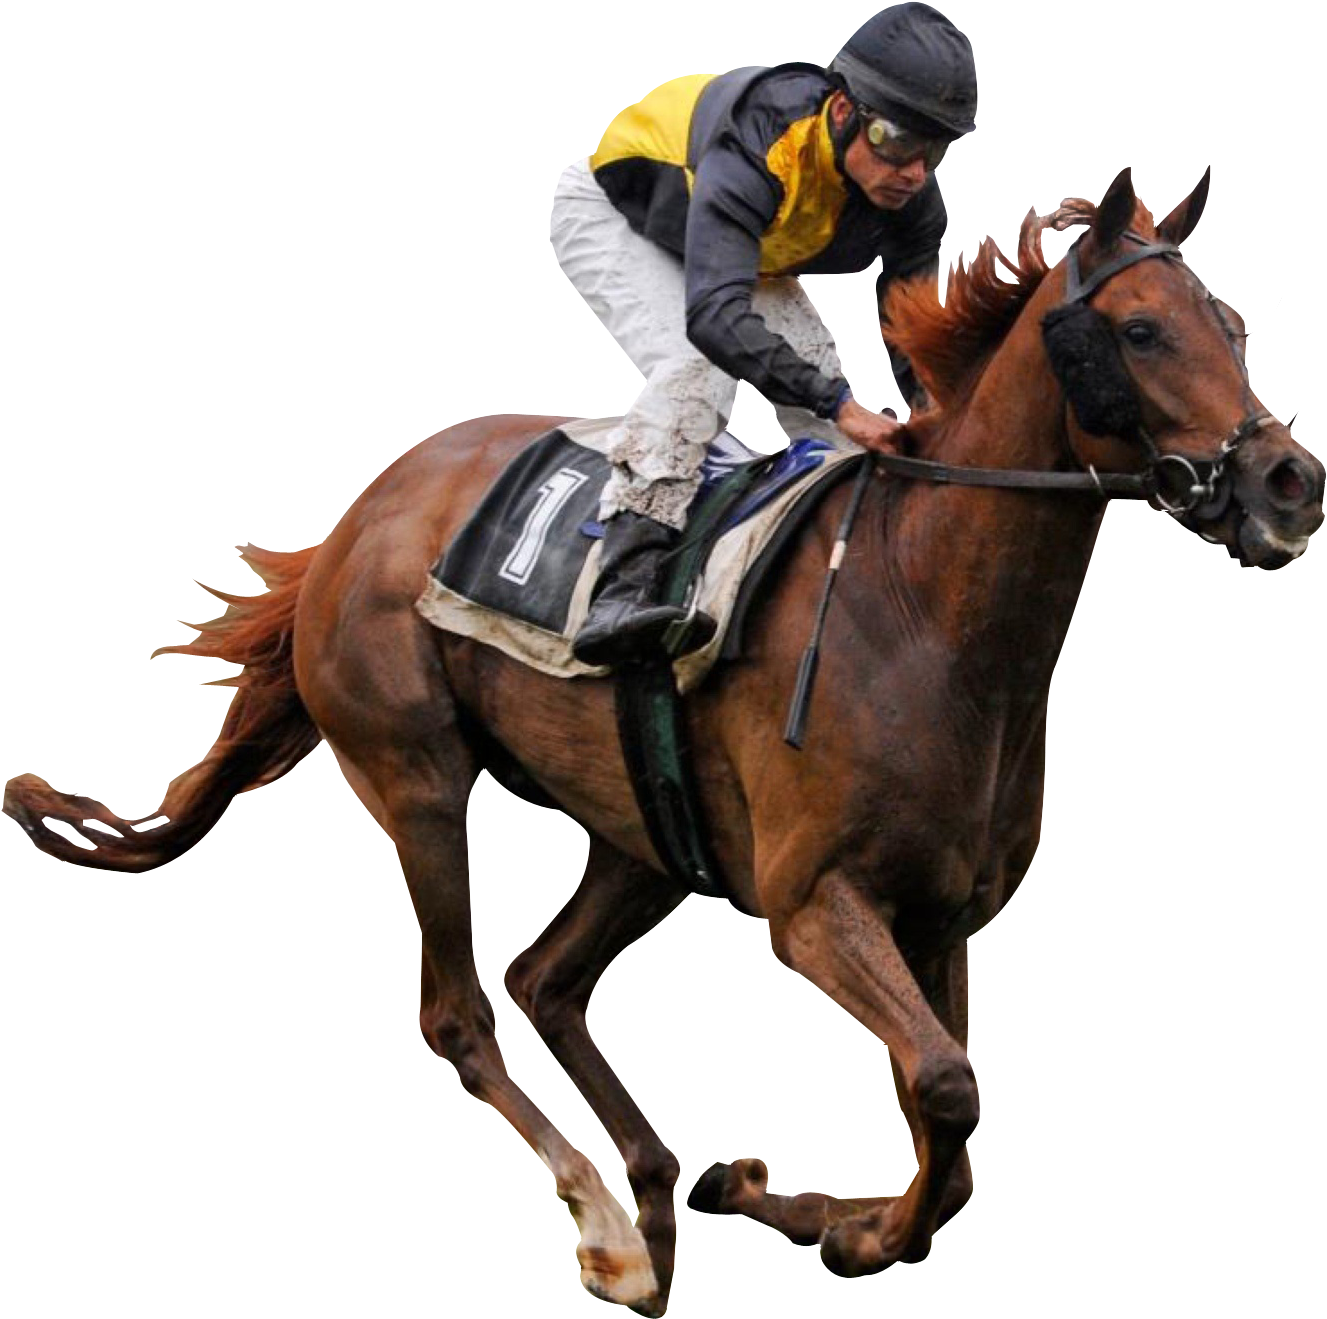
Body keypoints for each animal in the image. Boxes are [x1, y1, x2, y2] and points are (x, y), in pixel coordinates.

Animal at [5, 166, 1321, 1314]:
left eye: (1234, 326)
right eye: (1143, 329)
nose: (1288, 481)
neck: (924, 607)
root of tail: (357, 516)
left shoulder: (945, 916)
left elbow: (945, 1126)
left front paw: (787, 1202)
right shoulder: (815, 905)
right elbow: (947, 1088)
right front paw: (839, 1227)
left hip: (644, 833)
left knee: (545, 978)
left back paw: (657, 1193)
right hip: (412, 776)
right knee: (461, 1014)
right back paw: (611, 1232)